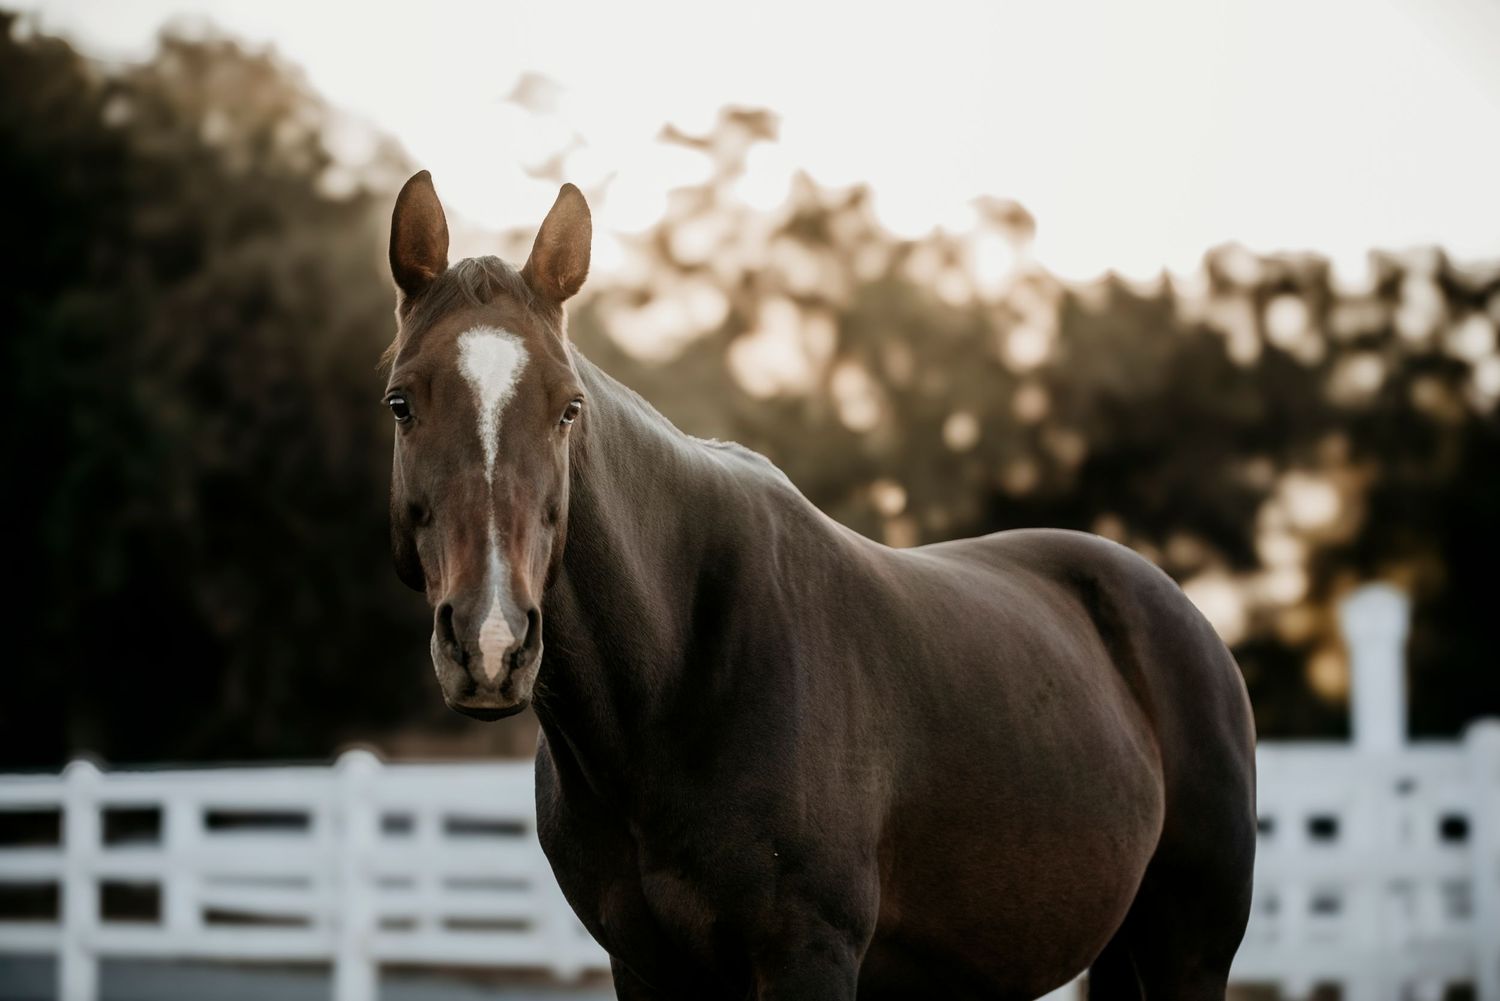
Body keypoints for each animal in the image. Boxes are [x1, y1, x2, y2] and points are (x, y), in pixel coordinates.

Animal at [379, 170, 1257, 1000]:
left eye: (568, 407)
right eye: (400, 403)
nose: (492, 643)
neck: (678, 677)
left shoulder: (809, 955)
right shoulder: (646, 968)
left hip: (1188, 954)